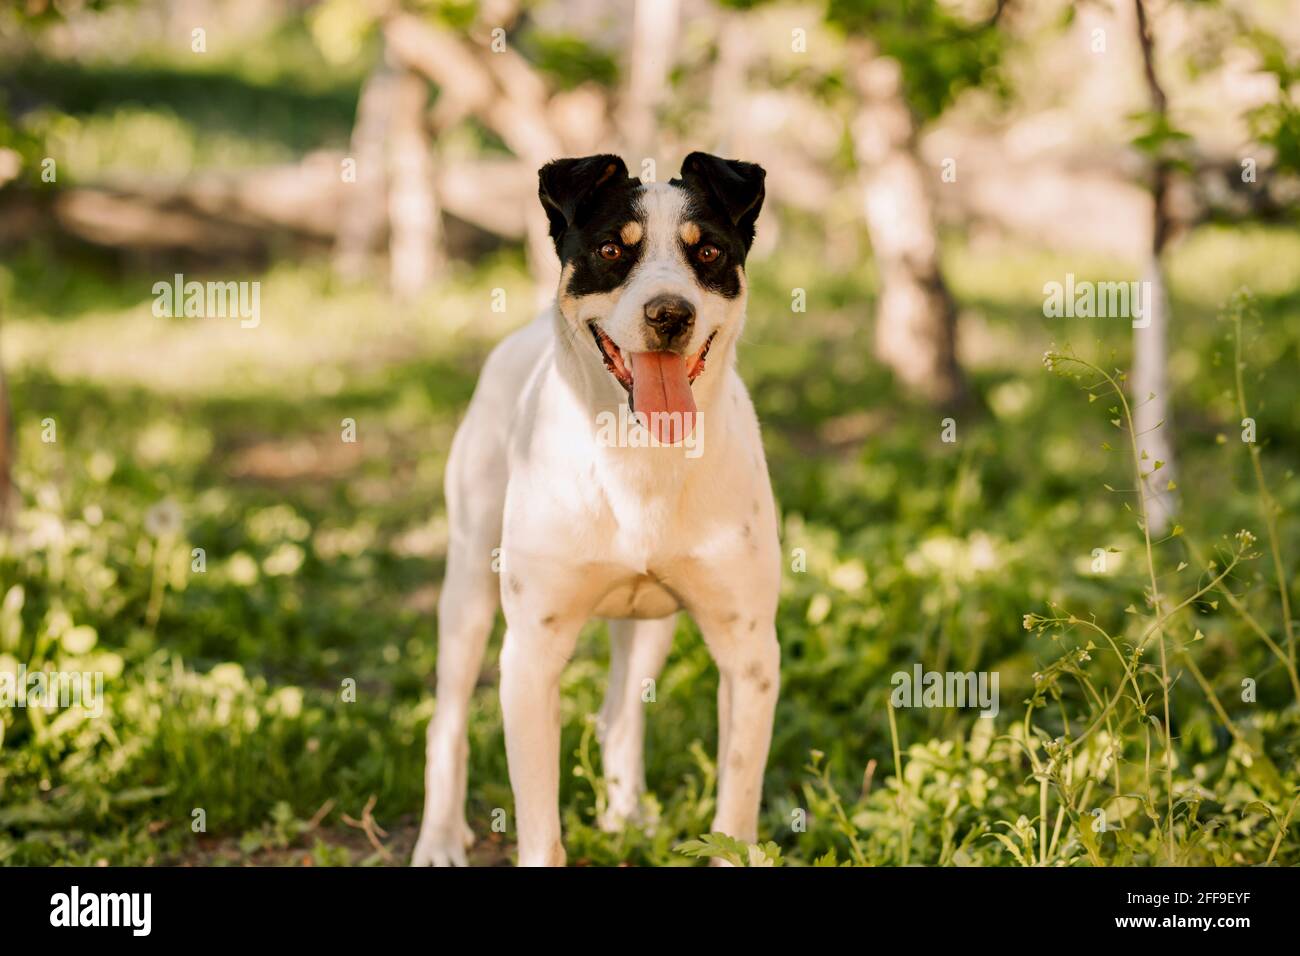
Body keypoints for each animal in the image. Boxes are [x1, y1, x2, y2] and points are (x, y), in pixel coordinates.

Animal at [416, 151, 780, 868]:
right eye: (613, 249)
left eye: (709, 252)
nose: (670, 314)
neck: (638, 456)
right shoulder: (531, 652)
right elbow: (540, 830)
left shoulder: (750, 653)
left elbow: (735, 809)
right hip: (468, 585)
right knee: (446, 723)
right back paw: (439, 839)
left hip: (653, 621)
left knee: (620, 715)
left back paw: (626, 815)